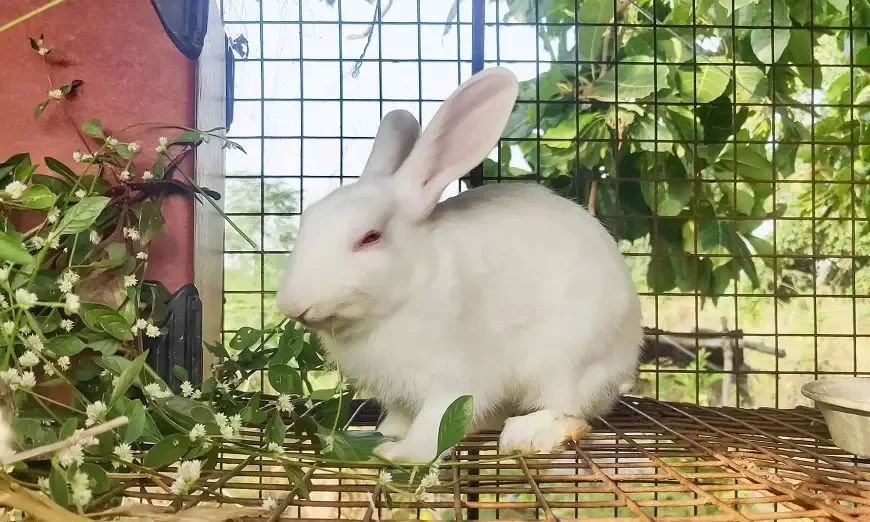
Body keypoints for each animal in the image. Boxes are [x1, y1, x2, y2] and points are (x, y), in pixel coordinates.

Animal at [275, 66, 644, 463]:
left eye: (370, 237)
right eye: (308, 220)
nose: (292, 303)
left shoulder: (453, 380)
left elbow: (433, 426)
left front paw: (399, 454)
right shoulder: (398, 394)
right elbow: (400, 417)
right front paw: (384, 436)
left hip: (566, 360)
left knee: (570, 410)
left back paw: (527, 434)